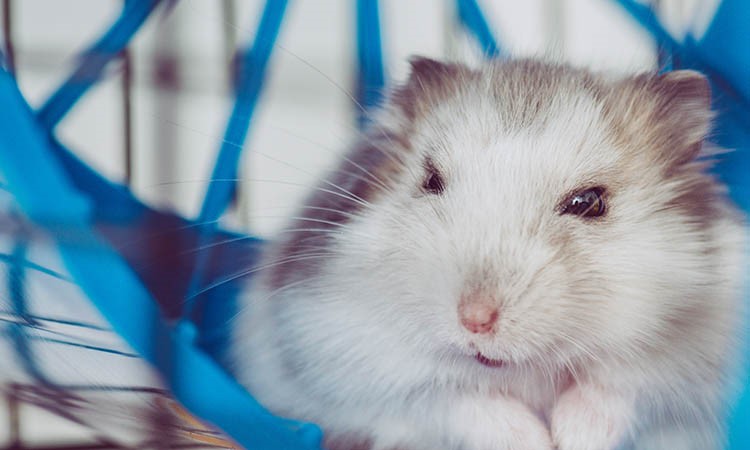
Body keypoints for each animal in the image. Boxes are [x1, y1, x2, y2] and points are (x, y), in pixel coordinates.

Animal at [230, 58, 747, 450]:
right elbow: (449, 398)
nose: (474, 320)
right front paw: (536, 441)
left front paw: (571, 437)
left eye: (589, 202)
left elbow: (624, 386)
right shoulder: (332, 343)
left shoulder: (692, 361)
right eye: (431, 180)